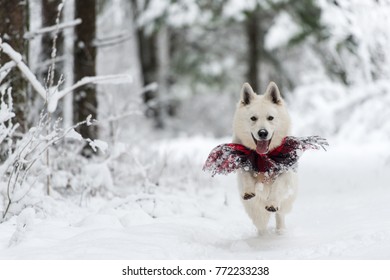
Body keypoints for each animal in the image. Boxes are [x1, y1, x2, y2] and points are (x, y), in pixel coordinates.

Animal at [232, 81, 298, 234]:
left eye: (270, 118)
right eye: (253, 118)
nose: (263, 133)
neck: (263, 156)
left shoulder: (284, 172)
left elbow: (277, 186)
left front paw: (272, 203)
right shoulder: (243, 164)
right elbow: (246, 176)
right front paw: (248, 190)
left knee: (280, 214)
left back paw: (280, 231)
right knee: (258, 216)